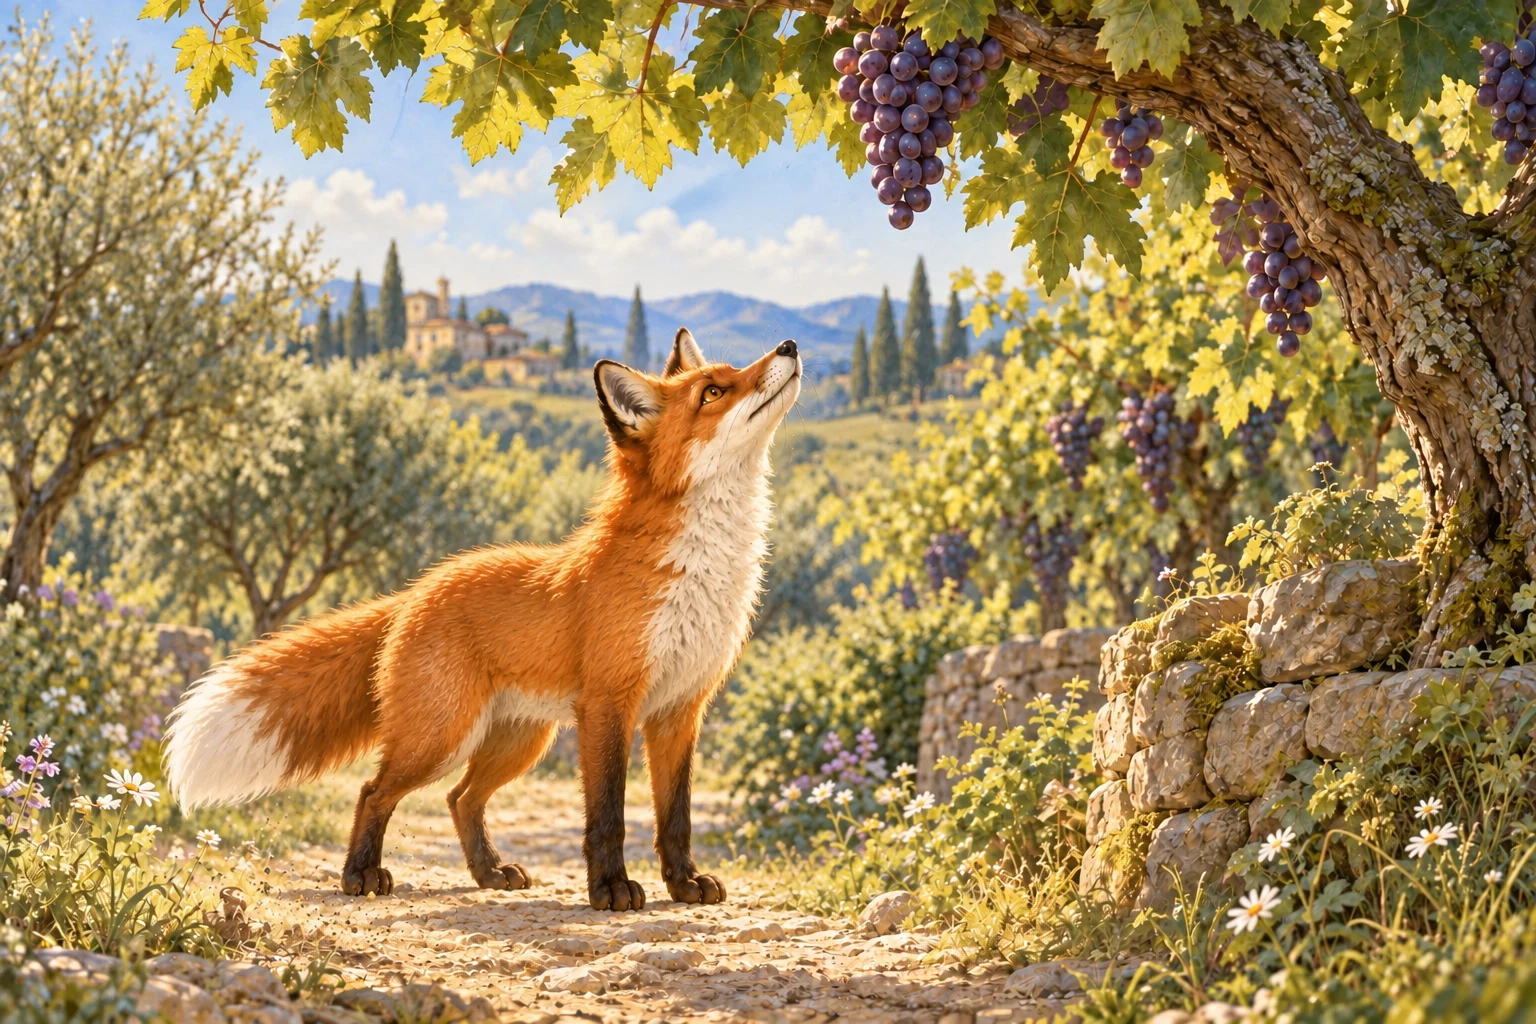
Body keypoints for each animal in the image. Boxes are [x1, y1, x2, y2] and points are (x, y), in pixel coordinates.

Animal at [162, 329, 801, 911]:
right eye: (713, 390)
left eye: (732, 374)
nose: (790, 346)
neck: (697, 569)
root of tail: (418, 588)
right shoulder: (609, 704)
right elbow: (608, 815)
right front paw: (610, 889)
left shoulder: (680, 710)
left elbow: (675, 817)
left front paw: (683, 884)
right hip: (442, 737)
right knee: (375, 790)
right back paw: (360, 876)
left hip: (518, 742)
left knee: (460, 799)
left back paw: (488, 872)